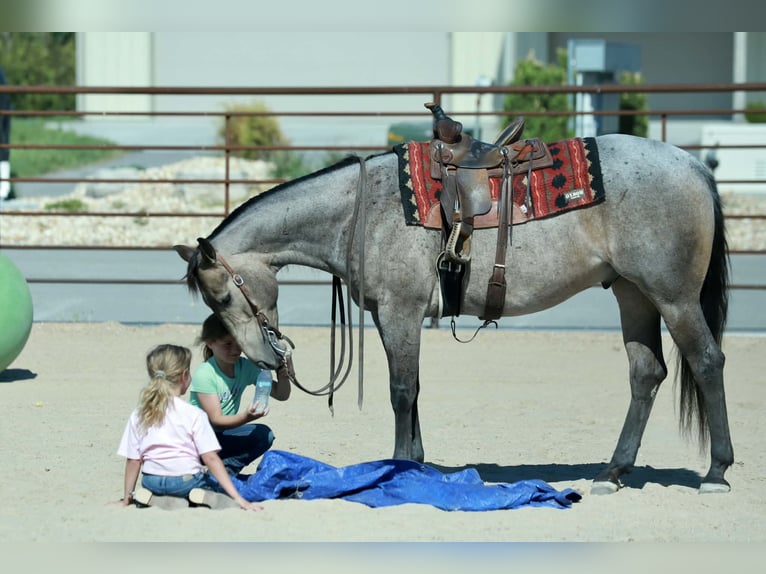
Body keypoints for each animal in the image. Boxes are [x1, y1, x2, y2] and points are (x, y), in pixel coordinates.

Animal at [174, 132, 733, 495]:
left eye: (223, 296)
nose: (265, 359)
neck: (359, 212)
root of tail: (694, 167)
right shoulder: (393, 315)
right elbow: (415, 388)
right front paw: (417, 463)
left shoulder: (400, 311)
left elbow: (401, 391)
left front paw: (399, 468)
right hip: (632, 293)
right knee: (647, 373)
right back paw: (613, 473)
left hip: (673, 297)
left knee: (707, 363)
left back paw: (716, 473)